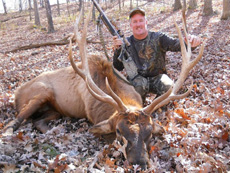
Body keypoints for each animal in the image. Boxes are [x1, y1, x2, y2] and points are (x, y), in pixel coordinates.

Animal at [1, 6, 203, 170]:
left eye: (149, 132)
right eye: (119, 131)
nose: (139, 163)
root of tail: (16, 92)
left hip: (55, 110)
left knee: (38, 121)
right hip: (42, 92)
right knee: (14, 121)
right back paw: (10, 134)